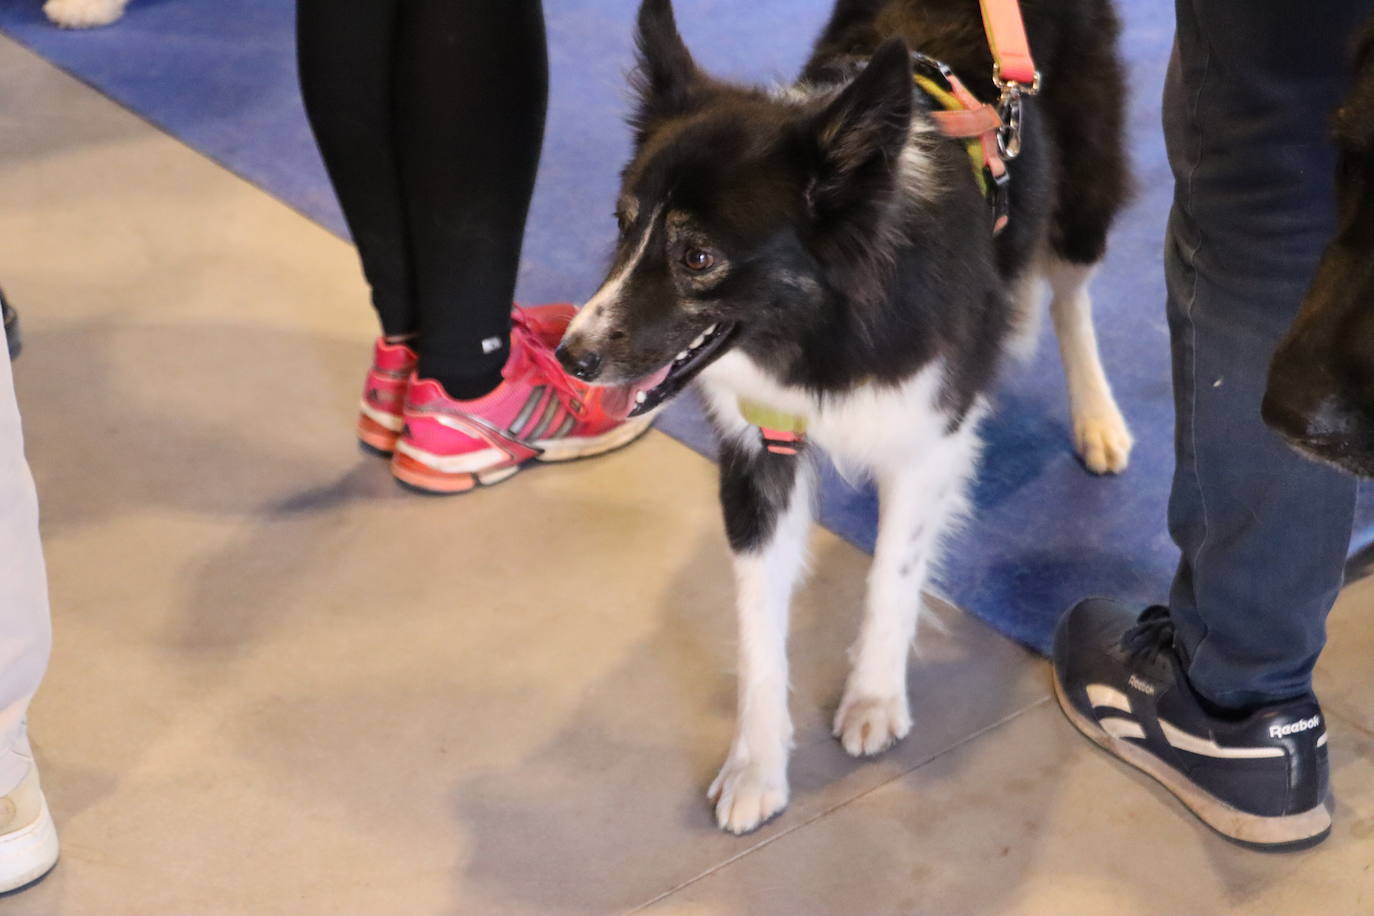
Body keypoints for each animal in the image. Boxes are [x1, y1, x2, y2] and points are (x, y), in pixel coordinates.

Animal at [563, 0, 1132, 834]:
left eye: (697, 257)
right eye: (622, 222)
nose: (569, 356)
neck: (818, 332)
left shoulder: (928, 438)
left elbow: (893, 575)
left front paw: (873, 698)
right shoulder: (760, 450)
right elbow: (757, 623)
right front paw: (757, 766)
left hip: (1084, 174)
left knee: (1071, 289)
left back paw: (1096, 415)